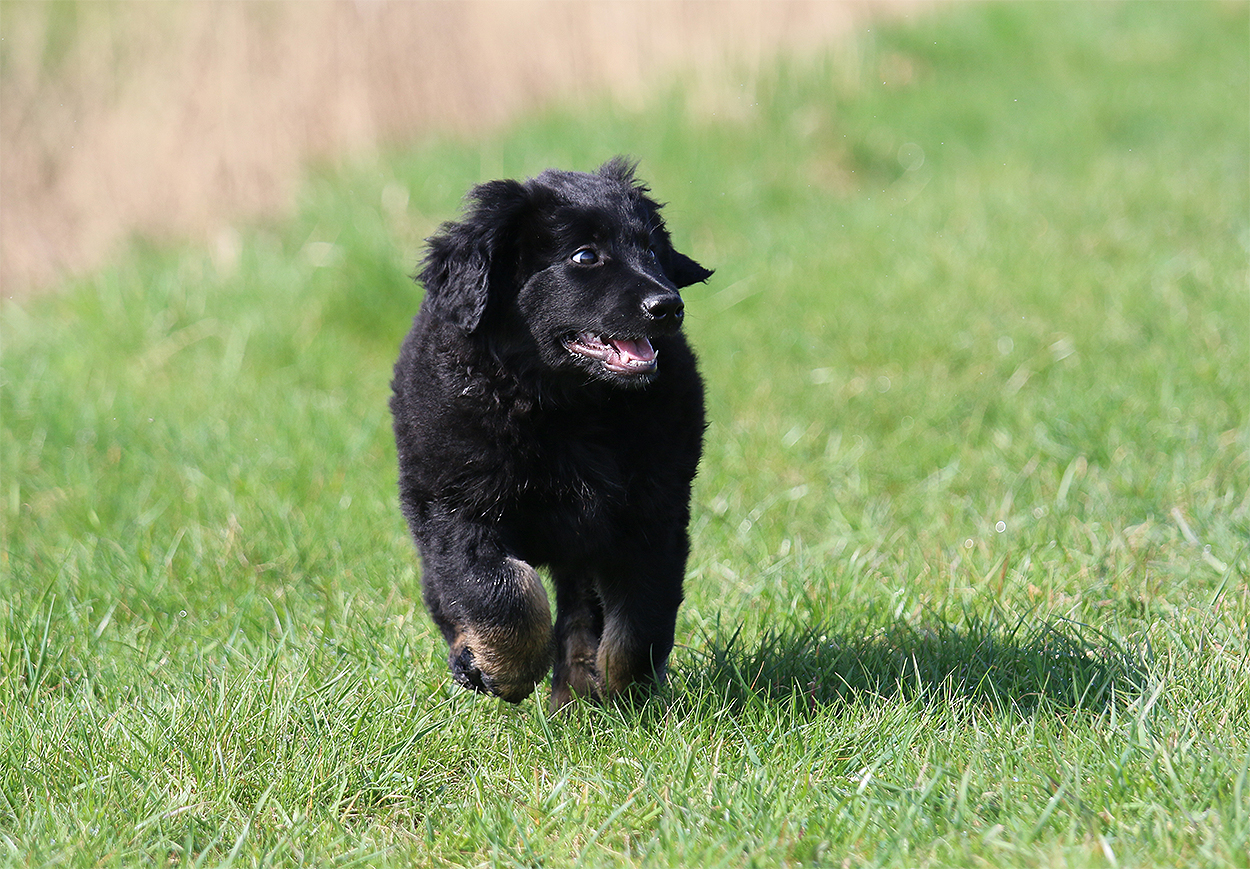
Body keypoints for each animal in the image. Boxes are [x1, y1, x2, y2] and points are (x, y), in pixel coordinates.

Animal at [390, 158, 711, 710]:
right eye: (585, 256)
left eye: (652, 249)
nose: (668, 305)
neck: (565, 407)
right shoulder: (456, 508)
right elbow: (498, 590)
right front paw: (509, 669)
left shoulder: (651, 512)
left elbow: (642, 613)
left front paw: (625, 686)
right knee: (446, 593)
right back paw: (471, 662)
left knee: (582, 612)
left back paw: (577, 692)